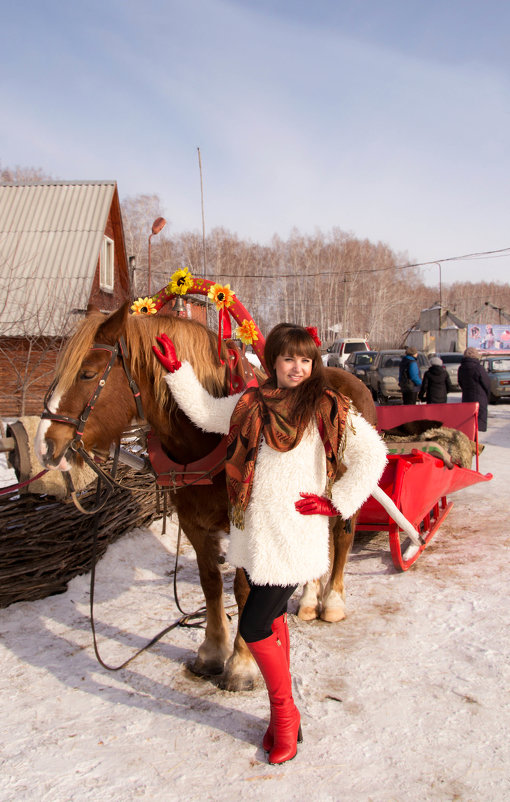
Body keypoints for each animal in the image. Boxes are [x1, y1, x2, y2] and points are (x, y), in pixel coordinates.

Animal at [35, 300, 376, 688]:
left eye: (88, 374)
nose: (45, 445)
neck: (205, 438)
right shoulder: (193, 523)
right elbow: (210, 583)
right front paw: (213, 651)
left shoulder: (245, 524)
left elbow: (243, 589)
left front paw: (241, 663)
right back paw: (306, 599)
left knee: (343, 538)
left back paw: (331, 602)